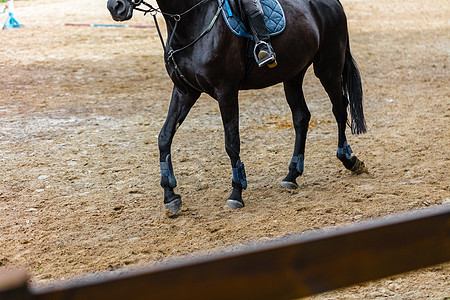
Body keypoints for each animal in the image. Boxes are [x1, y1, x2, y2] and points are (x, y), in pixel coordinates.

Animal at [107, 0, 368, 216]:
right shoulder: (185, 92)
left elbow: (232, 143)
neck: (191, 20)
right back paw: (292, 175)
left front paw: (236, 193)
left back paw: (349, 158)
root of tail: (333, 3)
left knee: (339, 109)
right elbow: (164, 137)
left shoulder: (226, 92)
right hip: (293, 74)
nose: (115, 7)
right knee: (301, 117)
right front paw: (170, 196)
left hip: (328, 68)